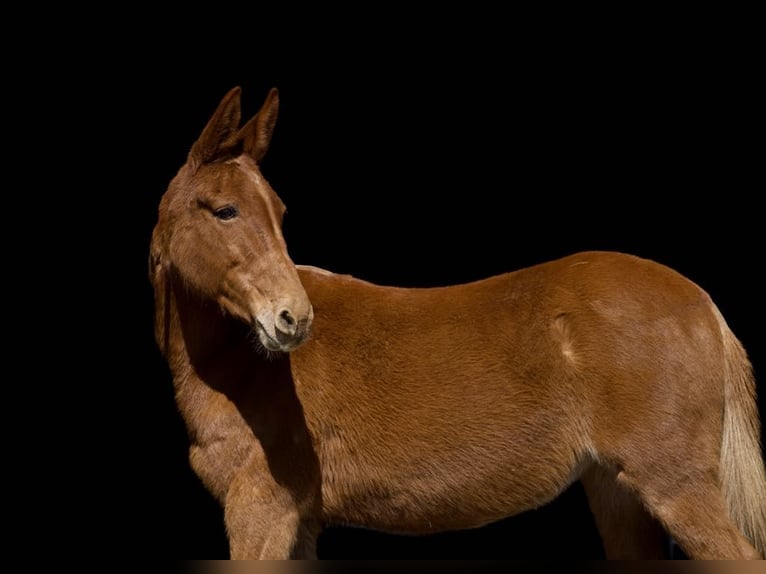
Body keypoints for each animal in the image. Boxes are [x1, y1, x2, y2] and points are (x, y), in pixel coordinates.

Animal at [149, 85, 766, 560]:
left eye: (278, 212)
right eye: (225, 210)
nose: (293, 319)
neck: (240, 369)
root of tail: (701, 301)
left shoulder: (262, 511)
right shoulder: (295, 521)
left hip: (674, 486)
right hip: (618, 493)